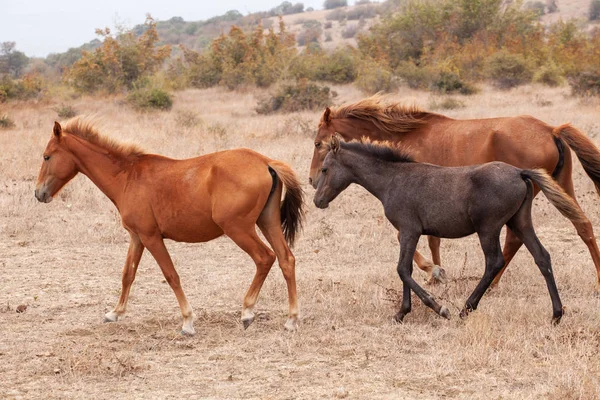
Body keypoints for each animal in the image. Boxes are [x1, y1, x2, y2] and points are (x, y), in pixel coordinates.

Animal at [35, 119, 304, 334]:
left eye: (47, 156)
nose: (39, 193)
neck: (127, 177)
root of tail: (266, 162)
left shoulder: (151, 237)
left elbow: (171, 275)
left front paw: (188, 322)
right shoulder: (137, 237)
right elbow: (127, 274)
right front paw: (115, 313)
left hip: (238, 229)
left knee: (265, 258)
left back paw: (247, 312)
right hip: (268, 222)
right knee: (286, 259)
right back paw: (291, 320)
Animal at [310, 95, 600, 290]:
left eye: (317, 143)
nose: (312, 180)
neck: (409, 135)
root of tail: (552, 130)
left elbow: (415, 238)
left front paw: (434, 271)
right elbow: (431, 239)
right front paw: (435, 273)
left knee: (514, 241)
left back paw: (491, 283)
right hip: (561, 186)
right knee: (582, 225)